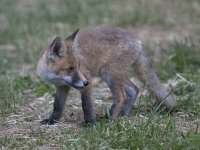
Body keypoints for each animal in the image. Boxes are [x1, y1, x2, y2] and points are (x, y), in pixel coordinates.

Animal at [37, 25, 175, 124]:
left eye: (78, 66)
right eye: (70, 69)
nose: (85, 82)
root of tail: (138, 41)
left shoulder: (86, 76)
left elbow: (86, 104)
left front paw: (90, 123)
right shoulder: (61, 87)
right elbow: (57, 106)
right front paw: (52, 121)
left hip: (109, 74)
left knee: (121, 96)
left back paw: (110, 119)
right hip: (113, 75)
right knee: (134, 90)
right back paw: (121, 115)